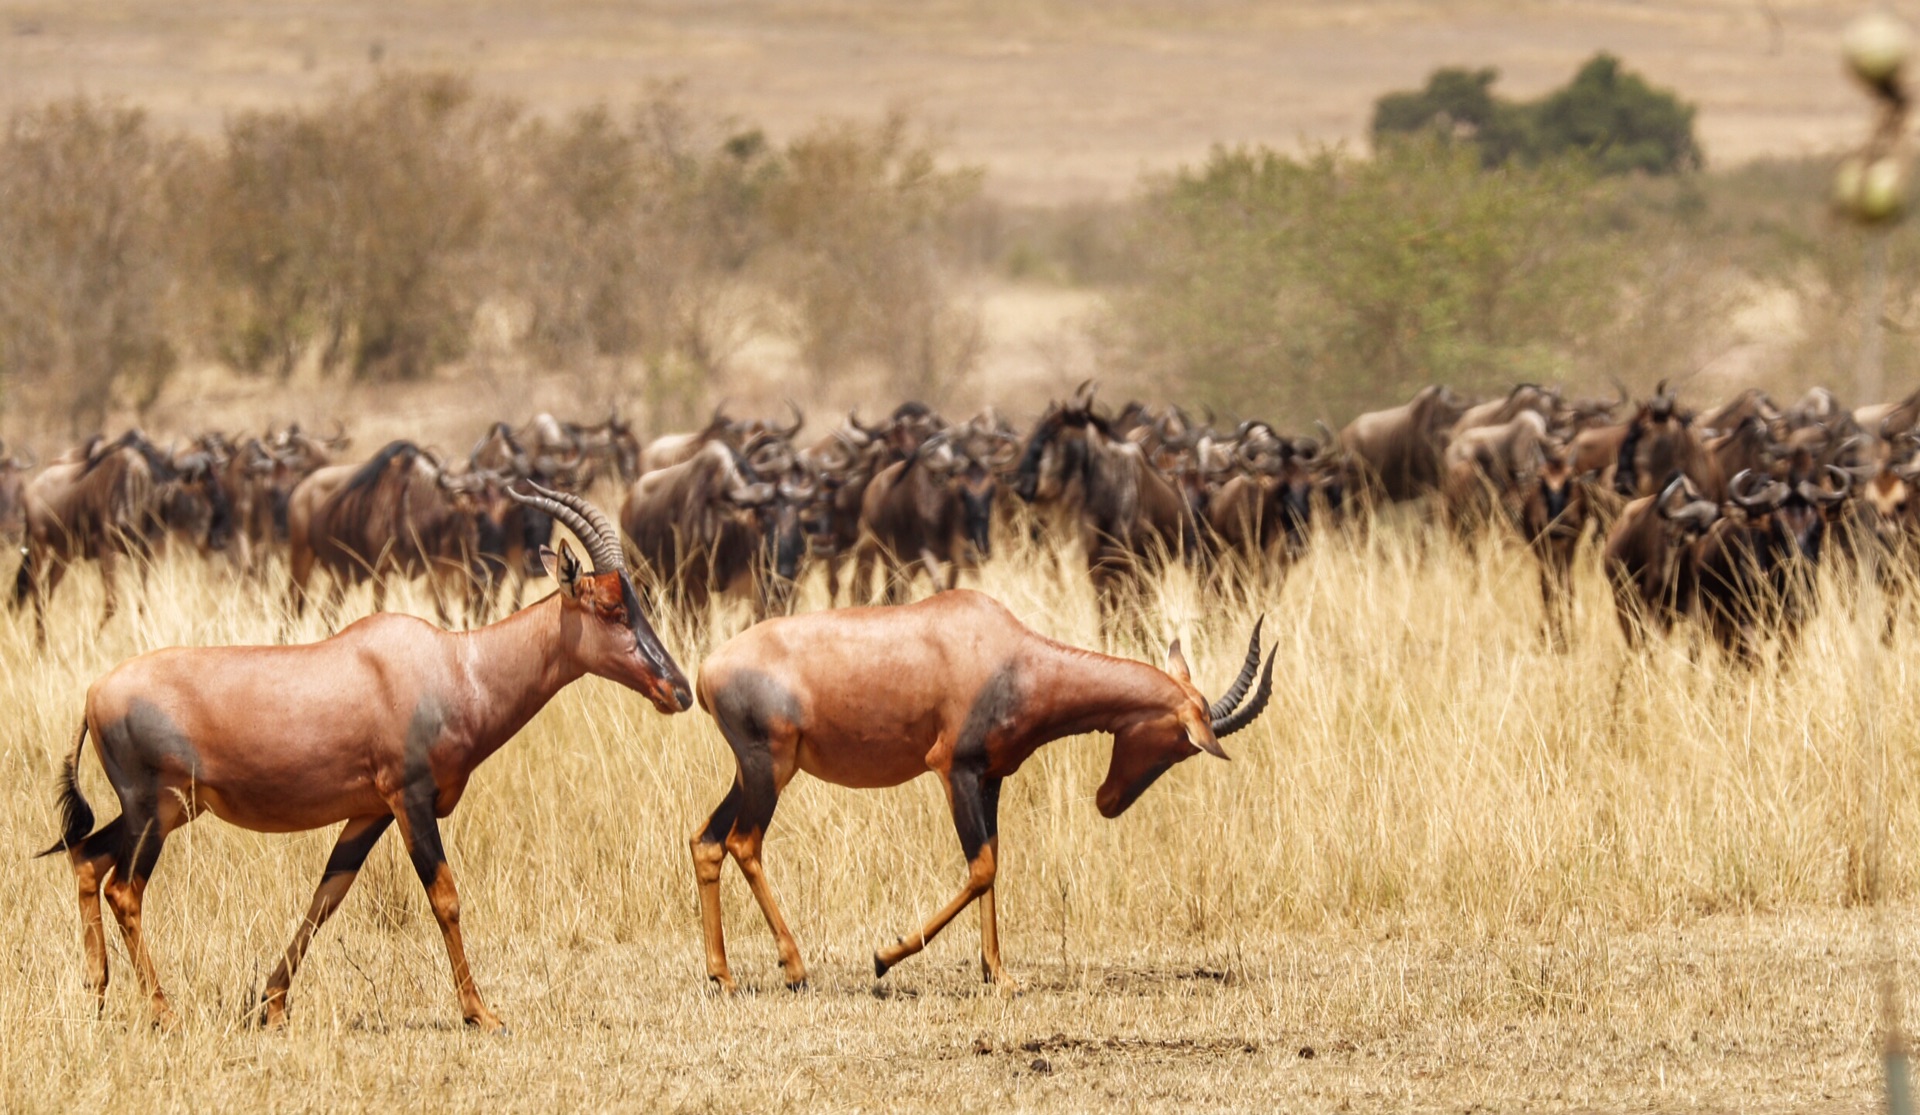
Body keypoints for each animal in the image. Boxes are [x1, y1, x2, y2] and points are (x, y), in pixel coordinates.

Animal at [35, 481, 691, 1028]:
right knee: (124, 889)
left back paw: (97, 993)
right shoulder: (411, 800)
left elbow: (327, 897)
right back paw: (163, 1012)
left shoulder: (368, 812)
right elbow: (445, 899)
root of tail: (95, 693)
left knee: (87, 859)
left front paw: (271, 1004)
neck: (453, 665)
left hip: (160, 811)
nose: (679, 691)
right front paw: (481, 1013)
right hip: (157, 810)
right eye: (610, 607)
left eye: (638, 600)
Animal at [691, 591, 1274, 990]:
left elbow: (992, 864)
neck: (1007, 654)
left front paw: (999, 974)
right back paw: (794, 968)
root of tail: (706, 669)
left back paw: (723, 976)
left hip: (752, 772)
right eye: (1183, 744)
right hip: (769, 767)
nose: (1107, 802)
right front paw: (885, 956)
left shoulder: (990, 779)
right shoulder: (955, 771)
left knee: (707, 842)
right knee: (744, 842)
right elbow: (982, 868)